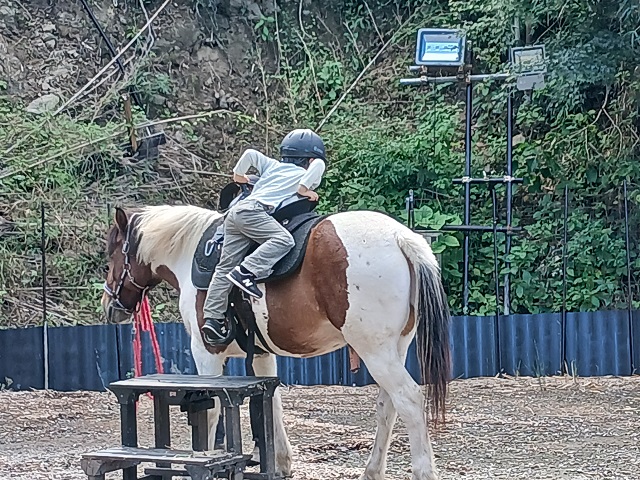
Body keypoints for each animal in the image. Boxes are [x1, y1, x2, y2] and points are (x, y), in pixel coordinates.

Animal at [101, 190, 452, 480]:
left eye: (112, 253)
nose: (109, 304)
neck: (190, 254)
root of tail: (400, 237)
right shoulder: (261, 354)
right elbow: (272, 405)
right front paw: (281, 463)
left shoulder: (206, 353)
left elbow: (211, 409)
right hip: (393, 349)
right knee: (387, 405)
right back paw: (372, 471)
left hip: (376, 352)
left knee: (408, 400)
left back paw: (423, 471)